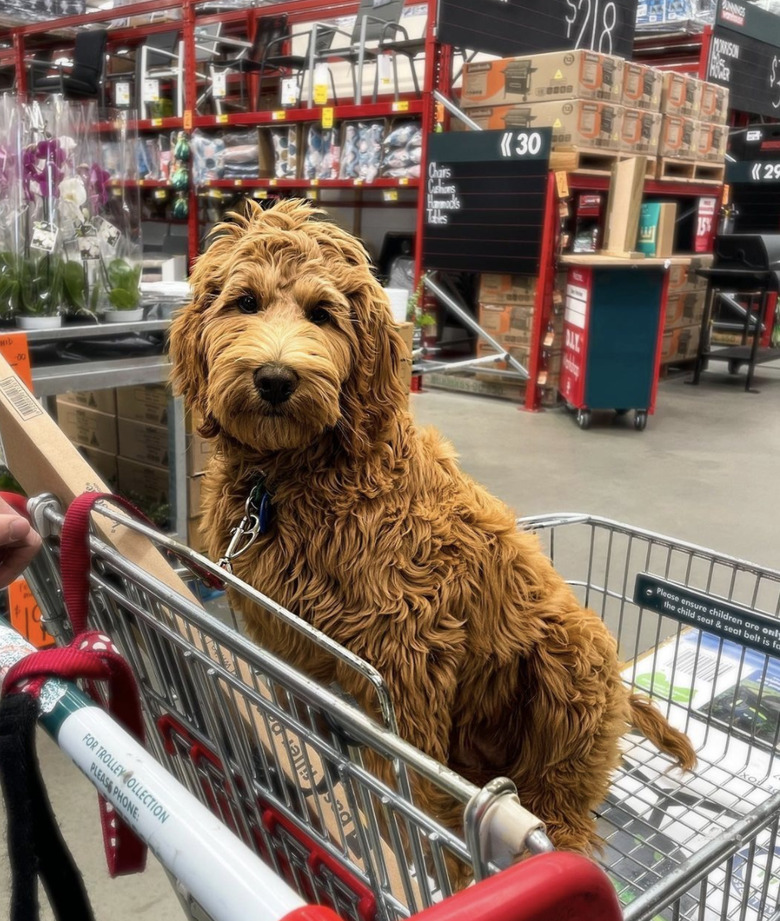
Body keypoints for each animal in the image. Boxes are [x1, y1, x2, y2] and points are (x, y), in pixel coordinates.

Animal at [171, 199, 696, 856]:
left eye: (323, 315)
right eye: (244, 302)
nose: (274, 379)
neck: (290, 477)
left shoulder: (407, 651)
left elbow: (409, 775)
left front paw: (416, 837)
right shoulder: (285, 638)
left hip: (568, 670)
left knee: (562, 805)